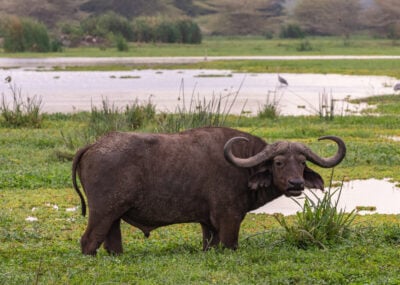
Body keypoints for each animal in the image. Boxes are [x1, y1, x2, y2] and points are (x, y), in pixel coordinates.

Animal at [72, 126, 346, 253]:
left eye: (302, 162)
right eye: (278, 162)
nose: (296, 184)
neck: (243, 165)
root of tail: (94, 145)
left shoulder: (208, 224)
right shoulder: (229, 219)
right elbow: (230, 245)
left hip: (114, 217)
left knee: (112, 244)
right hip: (103, 212)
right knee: (88, 241)